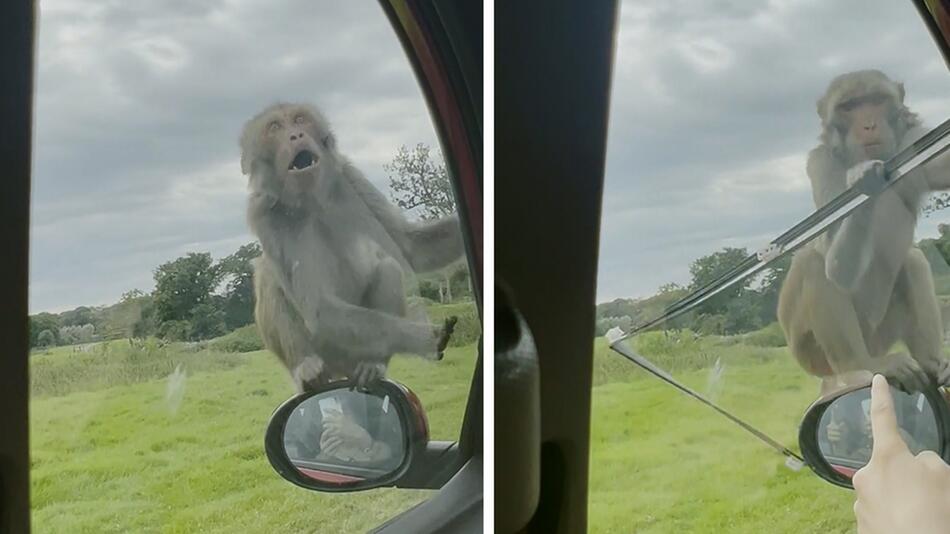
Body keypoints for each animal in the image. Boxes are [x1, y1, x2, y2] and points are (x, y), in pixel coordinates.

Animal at [242, 101, 464, 394]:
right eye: (275, 127)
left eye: (299, 120)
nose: (296, 135)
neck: (311, 200)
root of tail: (341, 372)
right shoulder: (263, 213)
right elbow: (320, 309)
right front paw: (425, 337)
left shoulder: (350, 177)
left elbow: (410, 248)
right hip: (329, 350)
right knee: (267, 275)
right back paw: (307, 370)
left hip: (354, 351)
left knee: (388, 267)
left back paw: (373, 364)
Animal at [776, 71, 950, 396]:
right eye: (850, 106)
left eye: (876, 100)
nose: (868, 124)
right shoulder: (820, 163)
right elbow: (835, 266)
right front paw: (864, 180)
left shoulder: (912, 141)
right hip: (811, 353)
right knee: (812, 263)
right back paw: (862, 364)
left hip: (880, 334)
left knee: (912, 260)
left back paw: (933, 363)